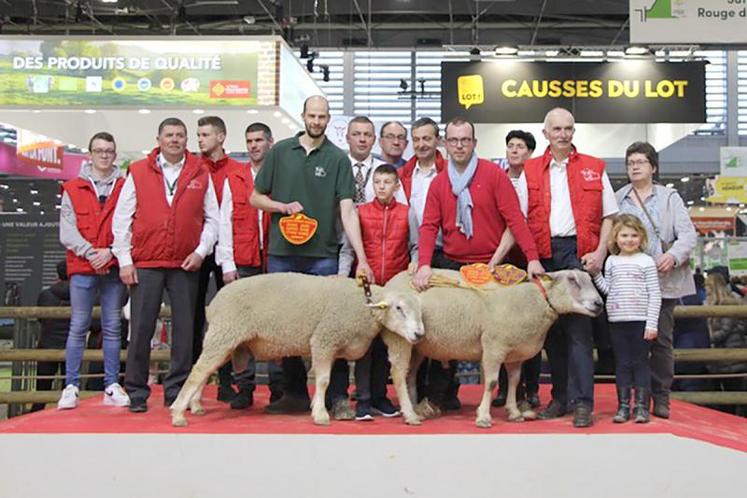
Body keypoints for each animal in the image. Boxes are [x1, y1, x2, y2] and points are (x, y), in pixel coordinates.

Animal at [172, 272, 424, 428]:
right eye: (399, 308)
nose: (419, 335)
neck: (363, 305)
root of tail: (213, 303)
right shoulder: (323, 340)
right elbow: (323, 380)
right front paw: (320, 414)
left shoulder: (334, 344)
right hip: (224, 334)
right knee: (198, 371)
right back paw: (177, 413)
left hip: (227, 339)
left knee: (205, 371)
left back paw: (195, 406)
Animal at [382, 268, 604, 428]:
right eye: (572, 280)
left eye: (588, 278)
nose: (599, 304)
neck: (537, 301)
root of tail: (391, 281)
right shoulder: (493, 346)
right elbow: (491, 383)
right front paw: (483, 417)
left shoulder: (515, 353)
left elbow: (514, 381)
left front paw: (514, 413)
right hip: (399, 338)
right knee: (399, 374)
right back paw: (410, 414)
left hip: (416, 344)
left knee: (409, 374)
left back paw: (414, 408)